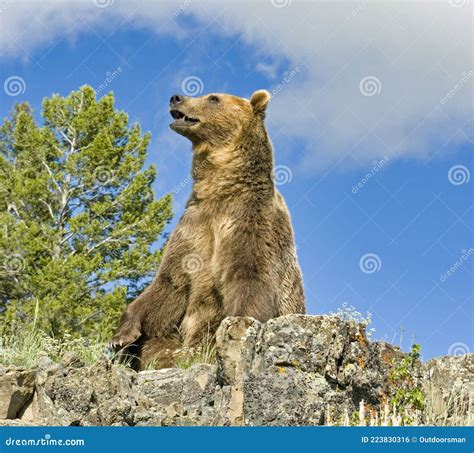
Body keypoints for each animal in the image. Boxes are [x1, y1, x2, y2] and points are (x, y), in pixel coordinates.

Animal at [109, 90, 306, 370]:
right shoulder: (193, 226)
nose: (176, 97)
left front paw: (236, 334)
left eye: (214, 98)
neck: (220, 189)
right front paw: (121, 336)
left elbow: (250, 279)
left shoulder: (250, 222)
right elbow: (168, 284)